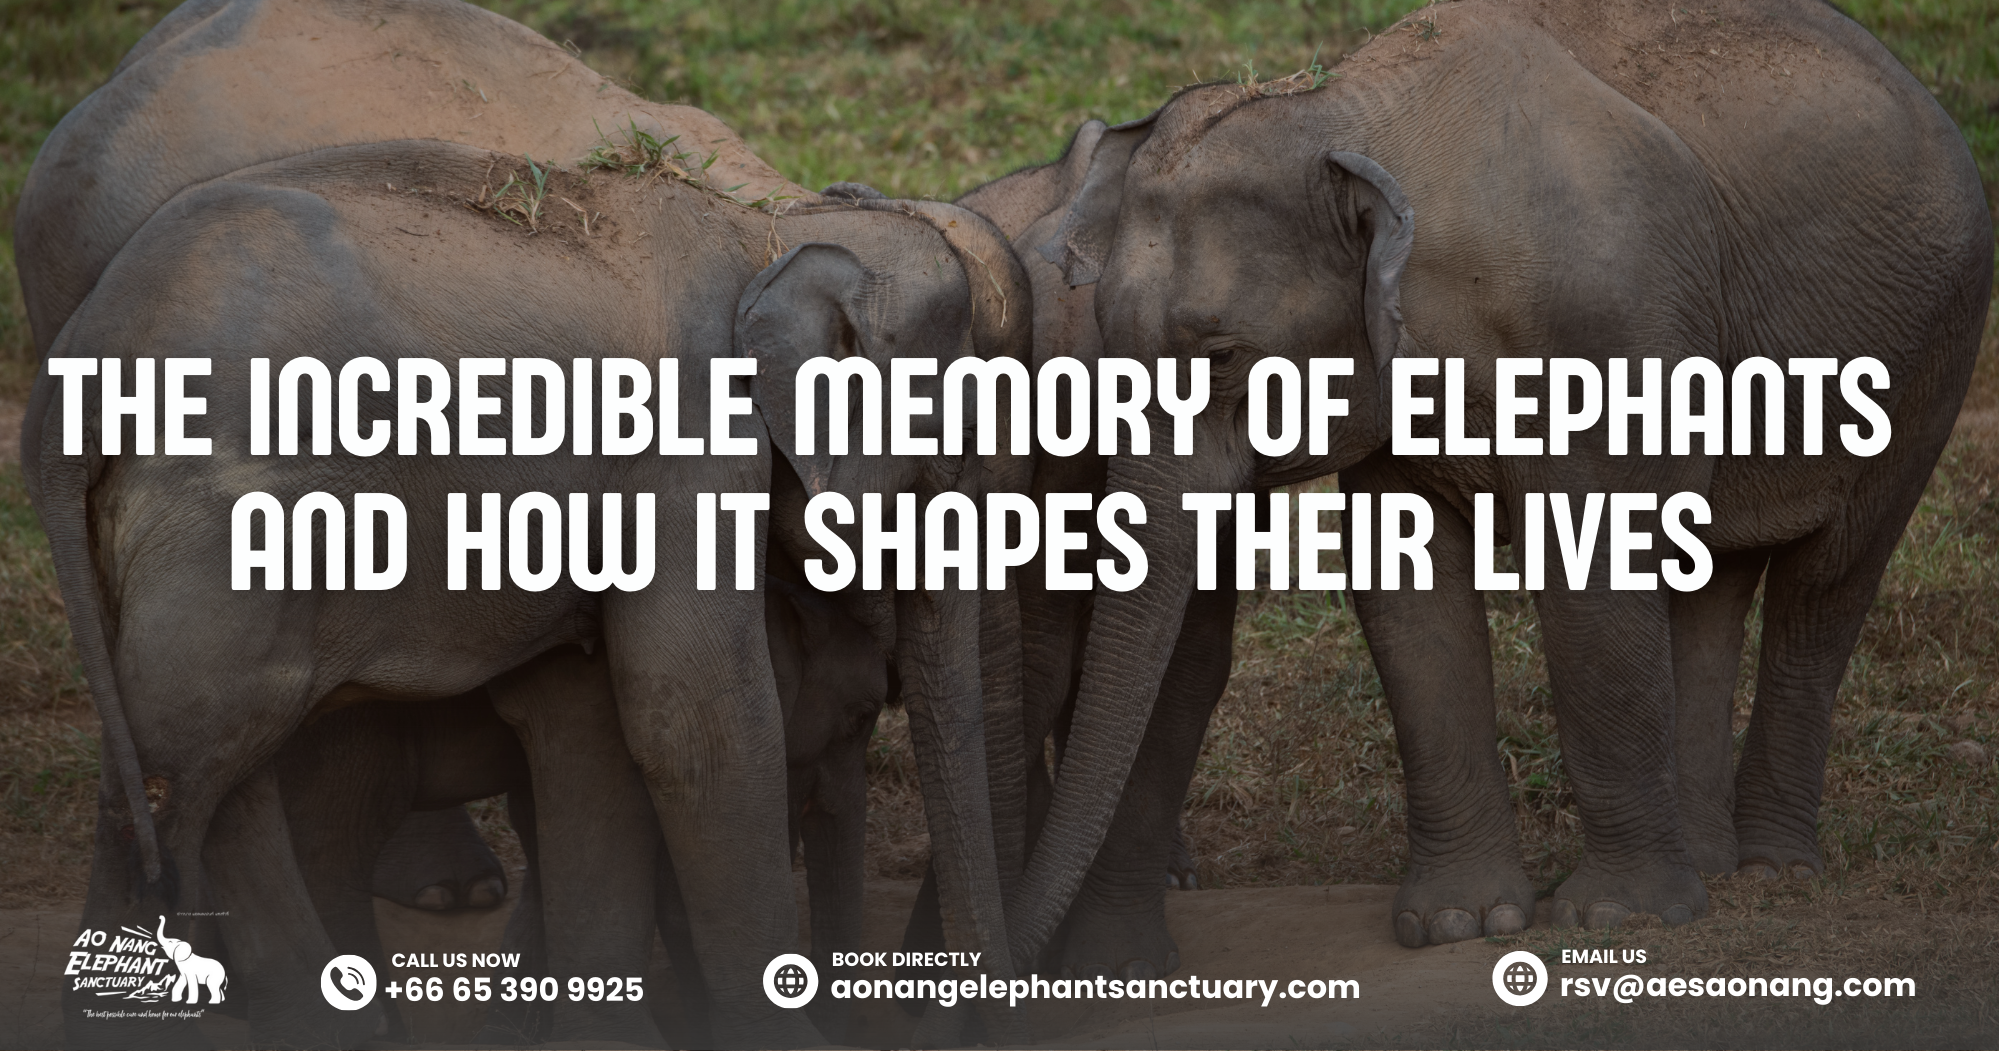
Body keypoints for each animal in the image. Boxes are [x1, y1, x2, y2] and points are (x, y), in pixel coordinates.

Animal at [992, 0, 1991, 970]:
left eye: (1223, 356)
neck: (1349, 115)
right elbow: (1407, 594)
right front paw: (1459, 924)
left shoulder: (1607, 324)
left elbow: (1593, 577)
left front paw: (1616, 919)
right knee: (1710, 575)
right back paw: (1709, 863)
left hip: (1934, 346)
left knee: (1827, 584)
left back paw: (1772, 869)